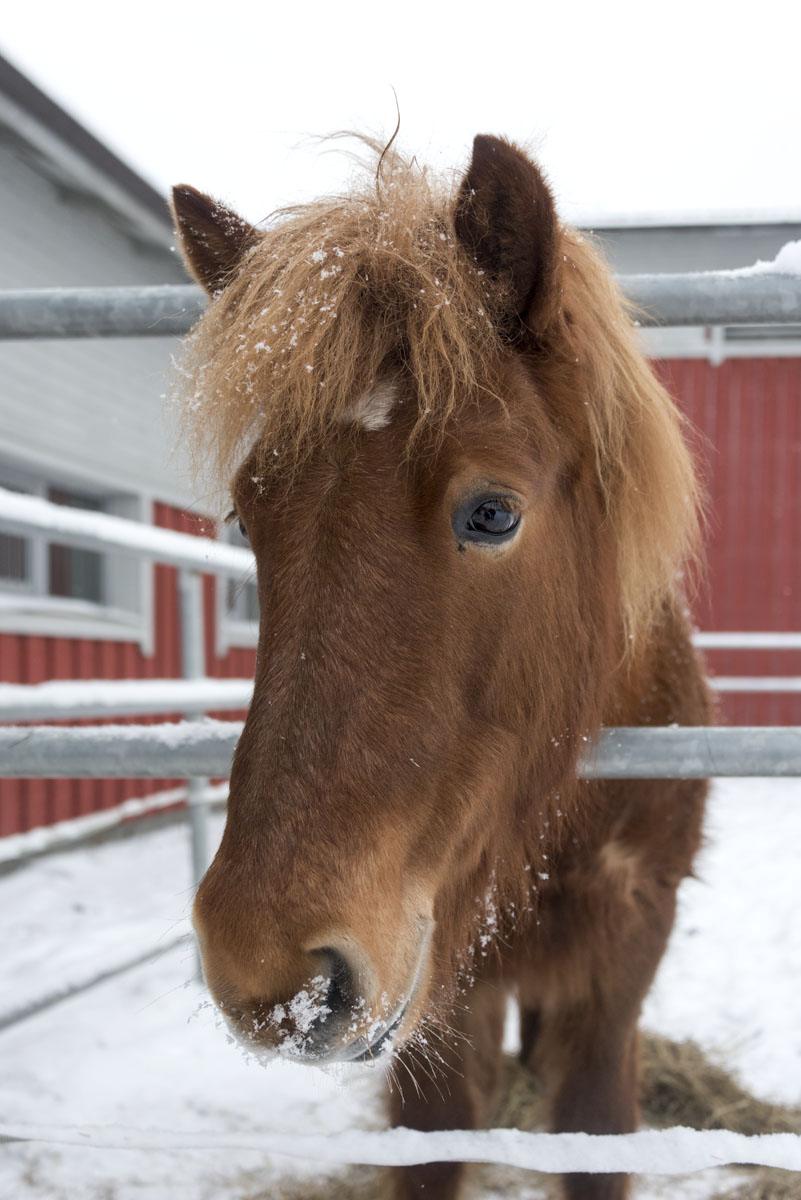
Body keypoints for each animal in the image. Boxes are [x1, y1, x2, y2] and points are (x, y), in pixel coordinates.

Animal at [172, 136, 709, 1195]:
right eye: (247, 520)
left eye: (492, 512)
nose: (267, 971)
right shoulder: (444, 1006)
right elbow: (436, 1141)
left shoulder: (618, 974)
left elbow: (590, 1127)